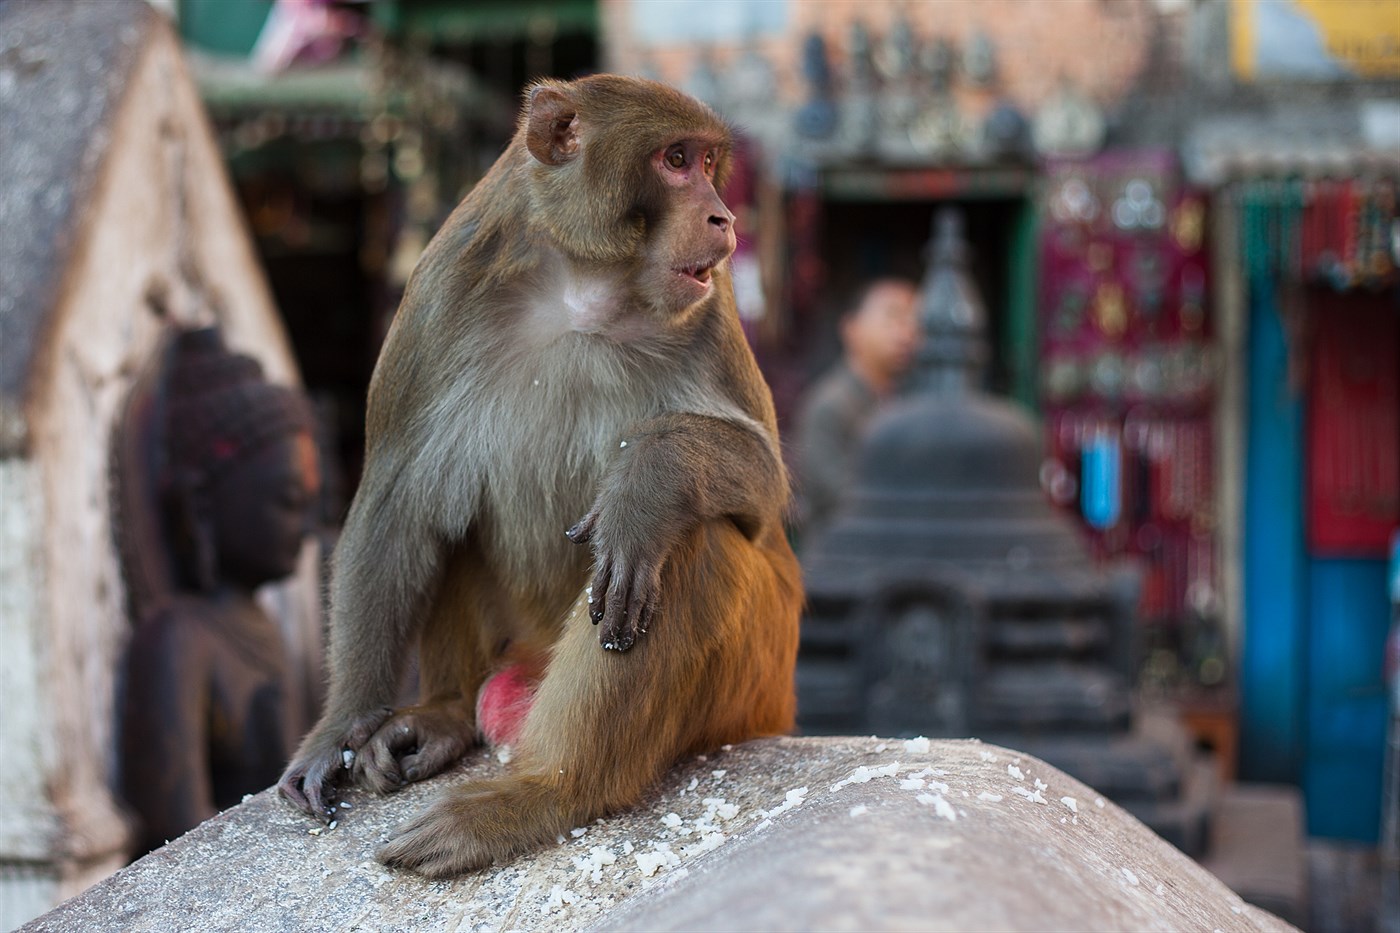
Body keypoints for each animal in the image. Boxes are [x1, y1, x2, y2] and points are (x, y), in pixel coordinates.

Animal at [275, 76, 800, 874]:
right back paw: (444, 716)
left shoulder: (713, 308)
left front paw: (647, 481)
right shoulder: (437, 293)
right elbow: (396, 502)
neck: (583, 288)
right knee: (445, 512)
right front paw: (339, 725)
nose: (724, 216)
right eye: (677, 160)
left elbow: (764, 486)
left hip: (754, 684)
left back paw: (543, 793)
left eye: (710, 162)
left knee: (684, 544)